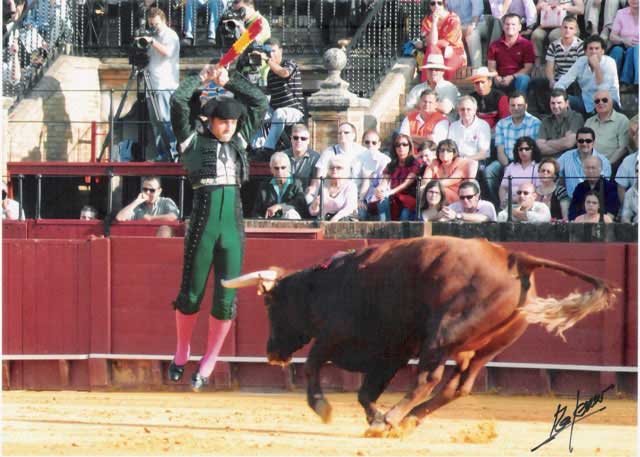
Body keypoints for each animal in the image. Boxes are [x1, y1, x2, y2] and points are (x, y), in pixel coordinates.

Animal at [222, 237, 616, 436]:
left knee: (429, 378)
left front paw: (325, 407)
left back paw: (397, 417)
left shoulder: (335, 336)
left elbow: (314, 365)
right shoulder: (391, 352)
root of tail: (514, 256)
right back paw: (408, 419)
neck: (326, 285)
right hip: (487, 348)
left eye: (269, 304)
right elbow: (365, 391)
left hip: (442, 335)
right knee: (458, 386)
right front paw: (374, 418)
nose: (272, 353)